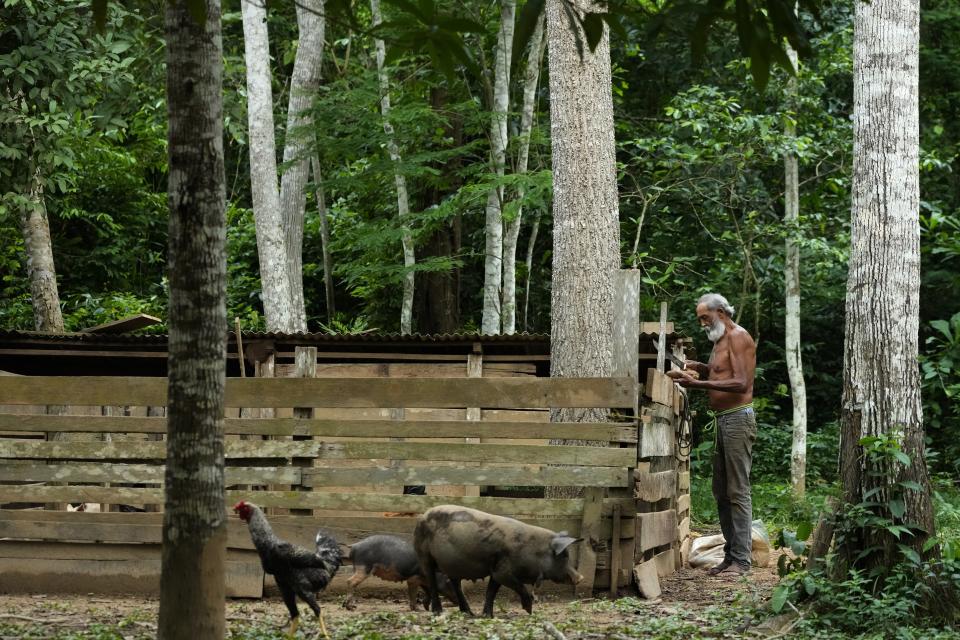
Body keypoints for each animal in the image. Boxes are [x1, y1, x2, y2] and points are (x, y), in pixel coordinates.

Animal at [414, 504, 584, 616]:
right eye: (564, 556)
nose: (580, 577)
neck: (533, 550)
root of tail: (423, 515)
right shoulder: (503, 572)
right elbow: (519, 586)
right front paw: (529, 610)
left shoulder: (495, 571)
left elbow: (491, 592)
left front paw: (488, 616)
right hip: (424, 556)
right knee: (432, 581)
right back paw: (438, 612)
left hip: (453, 566)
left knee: (456, 584)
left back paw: (469, 613)